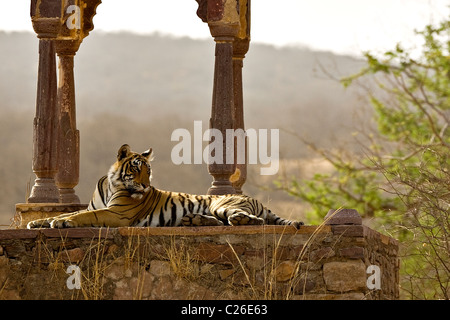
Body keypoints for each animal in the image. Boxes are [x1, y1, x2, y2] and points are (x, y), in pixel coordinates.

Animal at [27, 144, 302, 229]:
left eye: (149, 171)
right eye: (137, 169)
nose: (146, 187)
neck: (111, 184)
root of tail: (257, 200)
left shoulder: (117, 214)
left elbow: (83, 216)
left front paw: (63, 222)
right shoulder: (98, 207)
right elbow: (70, 212)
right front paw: (39, 222)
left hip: (224, 204)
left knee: (251, 219)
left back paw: (243, 221)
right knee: (220, 221)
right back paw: (194, 220)